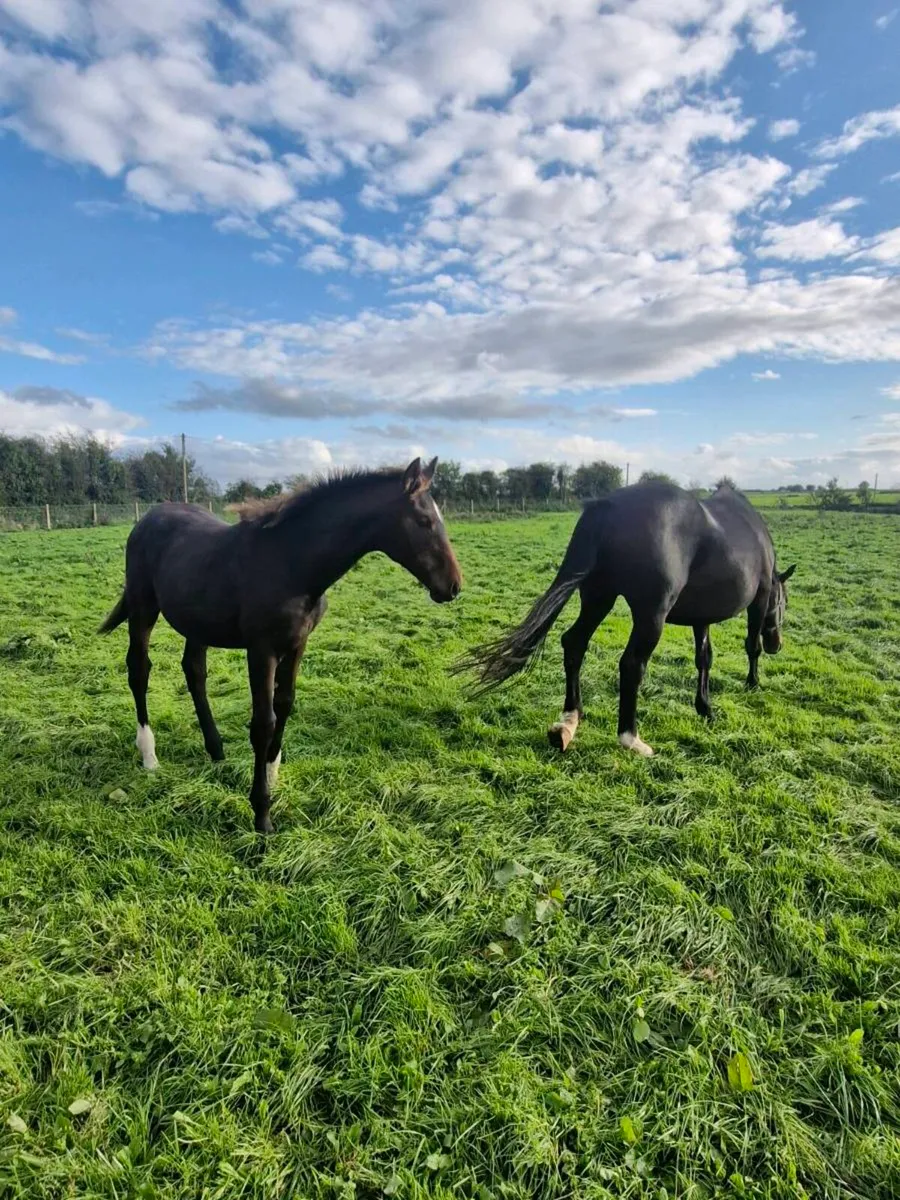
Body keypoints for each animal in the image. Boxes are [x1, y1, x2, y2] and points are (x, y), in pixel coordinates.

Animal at [99, 457, 462, 832]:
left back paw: (215, 750)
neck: (292, 563)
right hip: (143, 608)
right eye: (424, 521)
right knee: (139, 670)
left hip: (195, 621)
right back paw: (149, 755)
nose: (452, 586)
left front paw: (273, 776)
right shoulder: (262, 650)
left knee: (194, 671)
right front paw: (262, 813)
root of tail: (146, 520)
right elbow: (263, 721)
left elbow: (285, 703)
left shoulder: (298, 644)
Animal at [456, 482, 795, 756]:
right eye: (784, 602)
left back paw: (568, 723)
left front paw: (705, 708)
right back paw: (631, 739)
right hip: (649, 615)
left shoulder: (702, 617)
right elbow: (750, 646)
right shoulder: (759, 598)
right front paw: (752, 683)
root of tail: (608, 506)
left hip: (598, 598)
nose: (777, 644)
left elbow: (704, 659)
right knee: (631, 664)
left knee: (574, 643)